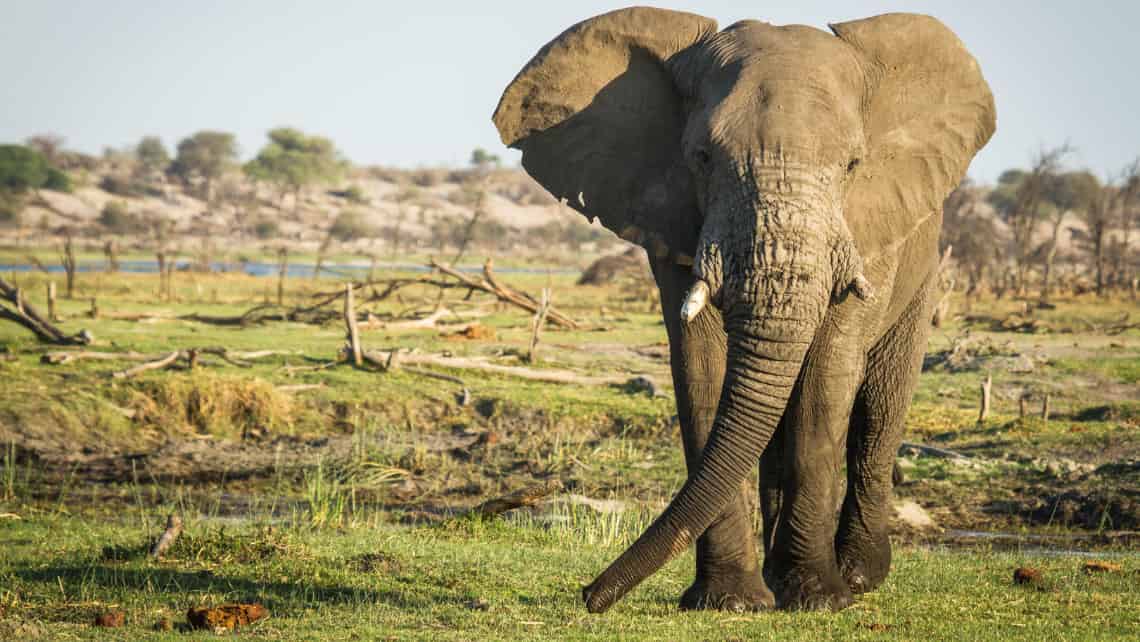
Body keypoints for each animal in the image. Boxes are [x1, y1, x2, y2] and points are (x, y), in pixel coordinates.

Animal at [494, 7, 994, 615]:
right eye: (702, 158)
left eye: (853, 165)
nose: (589, 594)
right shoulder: (675, 219)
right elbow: (701, 369)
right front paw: (731, 601)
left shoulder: (869, 229)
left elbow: (827, 379)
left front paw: (820, 600)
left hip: (921, 269)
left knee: (878, 412)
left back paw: (858, 578)